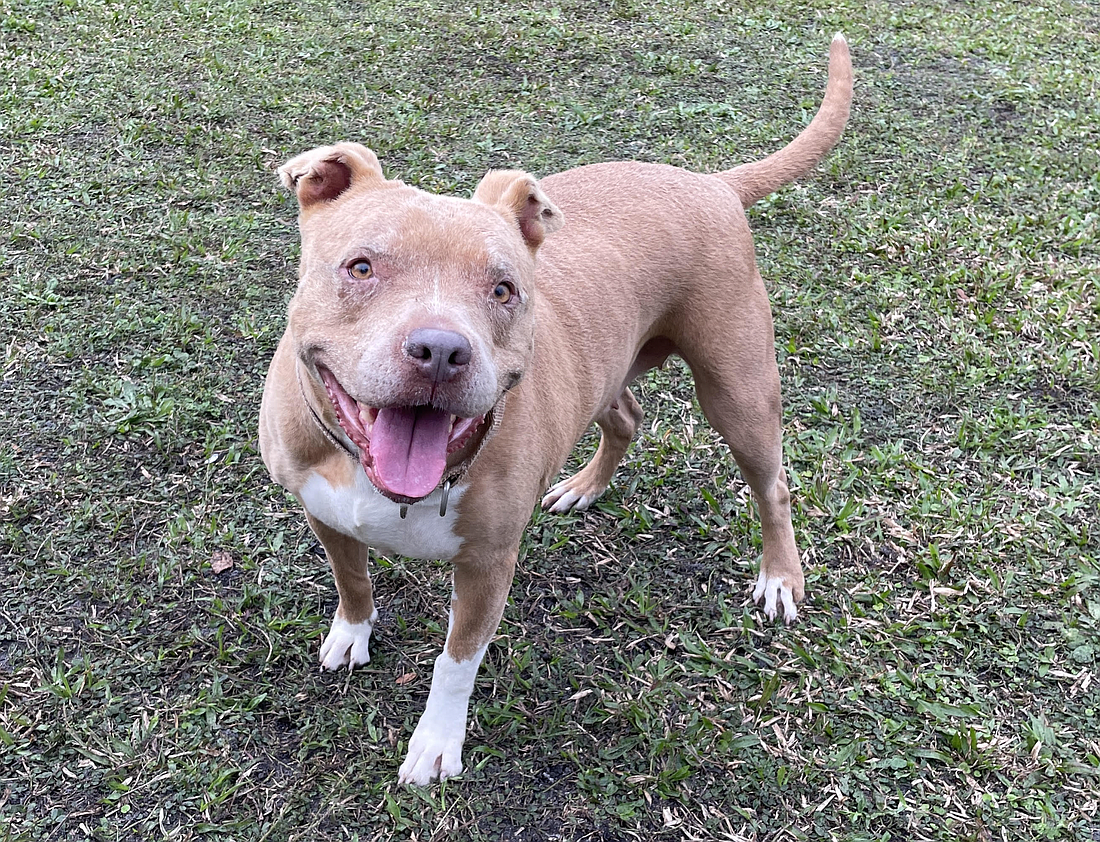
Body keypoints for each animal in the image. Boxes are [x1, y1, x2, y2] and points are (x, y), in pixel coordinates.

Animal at [259, 35, 852, 785]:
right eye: (361, 267)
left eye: (503, 289)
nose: (441, 351)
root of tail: (713, 183)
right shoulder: (324, 512)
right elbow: (353, 579)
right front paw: (352, 634)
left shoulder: (487, 566)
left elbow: (455, 662)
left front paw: (436, 743)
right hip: (609, 367)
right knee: (626, 416)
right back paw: (582, 488)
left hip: (738, 389)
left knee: (771, 484)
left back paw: (779, 577)